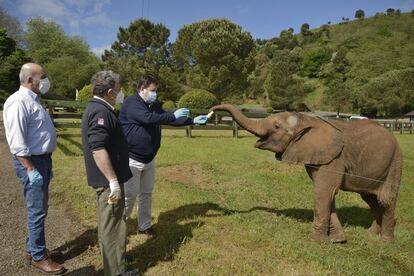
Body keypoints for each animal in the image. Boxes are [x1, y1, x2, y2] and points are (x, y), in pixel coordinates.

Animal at [210, 104, 402, 243]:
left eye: (277, 126)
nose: (212, 109)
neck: (308, 120)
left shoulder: (335, 158)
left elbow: (322, 192)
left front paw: (315, 242)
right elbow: (327, 195)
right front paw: (338, 240)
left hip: (395, 163)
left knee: (385, 200)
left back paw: (385, 241)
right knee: (370, 199)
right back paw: (371, 234)